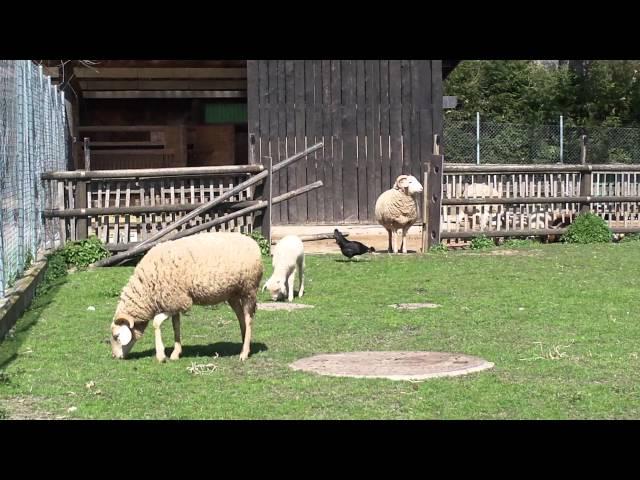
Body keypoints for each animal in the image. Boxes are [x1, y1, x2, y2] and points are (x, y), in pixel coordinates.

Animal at [110, 231, 262, 362]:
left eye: (116, 336)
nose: (115, 356)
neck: (147, 287)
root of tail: (252, 241)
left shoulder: (178, 301)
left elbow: (156, 322)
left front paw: (161, 355)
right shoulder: (174, 301)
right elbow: (176, 326)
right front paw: (176, 353)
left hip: (249, 289)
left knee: (248, 319)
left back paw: (244, 353)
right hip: (233, 294)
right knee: (241, 317)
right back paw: (245, 343)